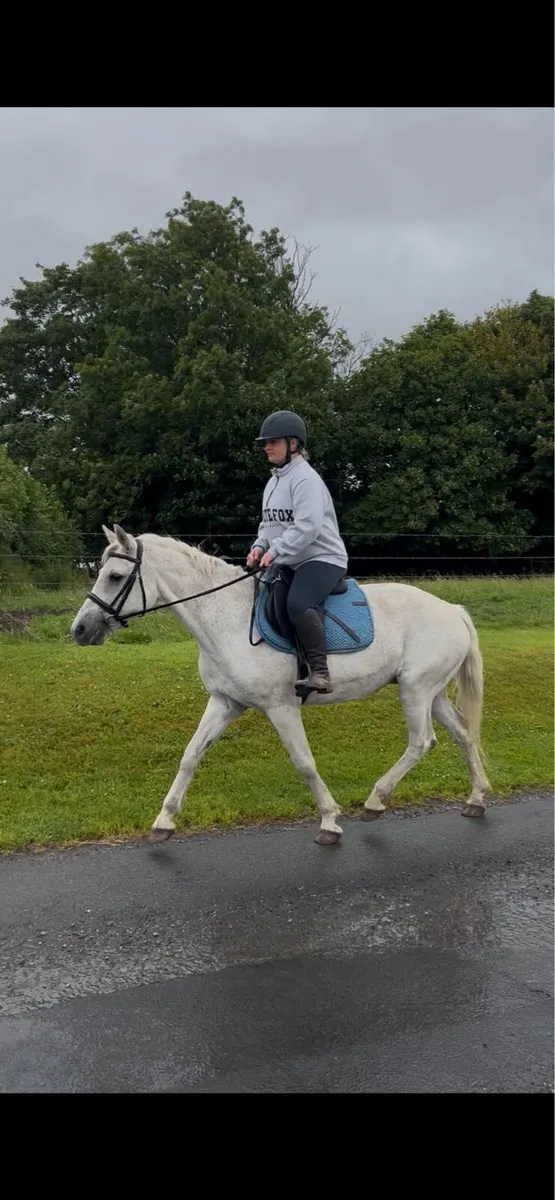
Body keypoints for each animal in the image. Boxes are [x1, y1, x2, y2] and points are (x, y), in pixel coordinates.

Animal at [70, 524, 491, 846]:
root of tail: (452, 610)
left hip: (416, 690)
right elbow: (190, 755)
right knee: (463, 734)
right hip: (432, 692)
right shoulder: (224, 702)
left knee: (422, 742)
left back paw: (376, 800)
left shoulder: (281, 706)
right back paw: (476, 798)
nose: (80, 630)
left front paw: (329, 821)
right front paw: (164, 821)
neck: (226, 619)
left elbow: (303, 762)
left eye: (115, 577)